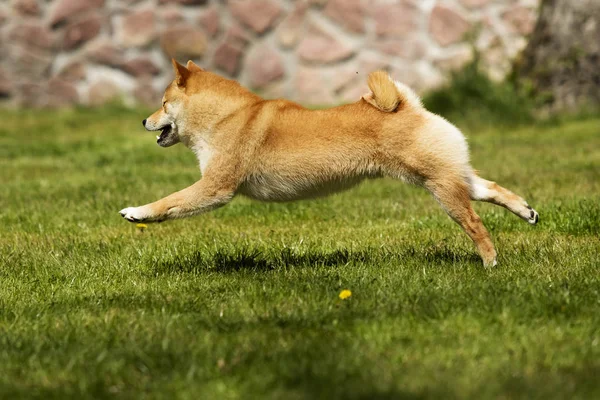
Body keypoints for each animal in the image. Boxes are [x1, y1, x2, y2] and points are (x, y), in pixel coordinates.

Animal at [118, 60, 540, 266]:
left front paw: (138, 212)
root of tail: (408, 106)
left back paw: (490, 262)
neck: (226, 116)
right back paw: (526, 211)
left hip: (438, 184)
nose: (142, 121)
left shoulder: (215, 188)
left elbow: (170, 202)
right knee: (489, 189)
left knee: (474, 222)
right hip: (447, 175)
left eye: (162, 102)